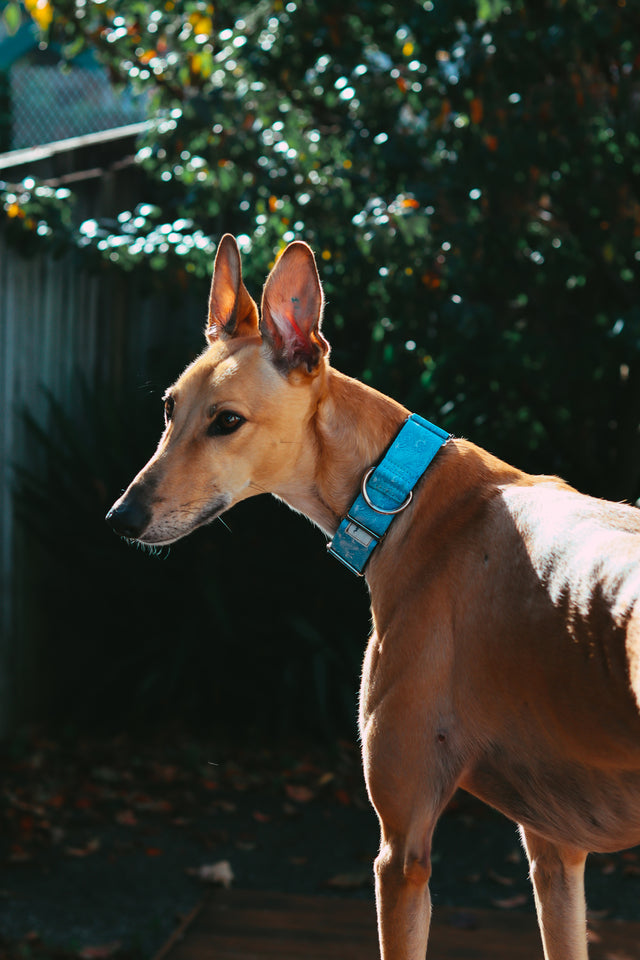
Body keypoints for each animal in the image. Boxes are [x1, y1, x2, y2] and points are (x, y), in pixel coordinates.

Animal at [107, 234, 640, 960]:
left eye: (227, 421)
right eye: (169, 407)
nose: (121, 519)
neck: (407, 493)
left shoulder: (402, 852)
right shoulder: (554, 851)